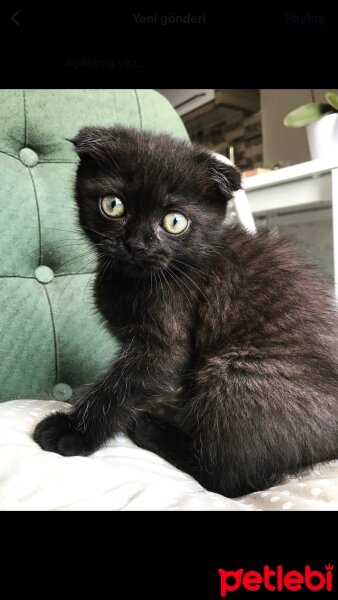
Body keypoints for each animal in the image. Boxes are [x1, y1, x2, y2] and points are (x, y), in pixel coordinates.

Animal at [33, 126, 338, 496]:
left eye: (175, 221)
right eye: (113, 205)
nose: (137, 244)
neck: (134, 279)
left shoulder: (165, 343)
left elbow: (120, 387)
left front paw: (73, 430)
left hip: (235, 374)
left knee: (228, 480)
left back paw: (151, 429)